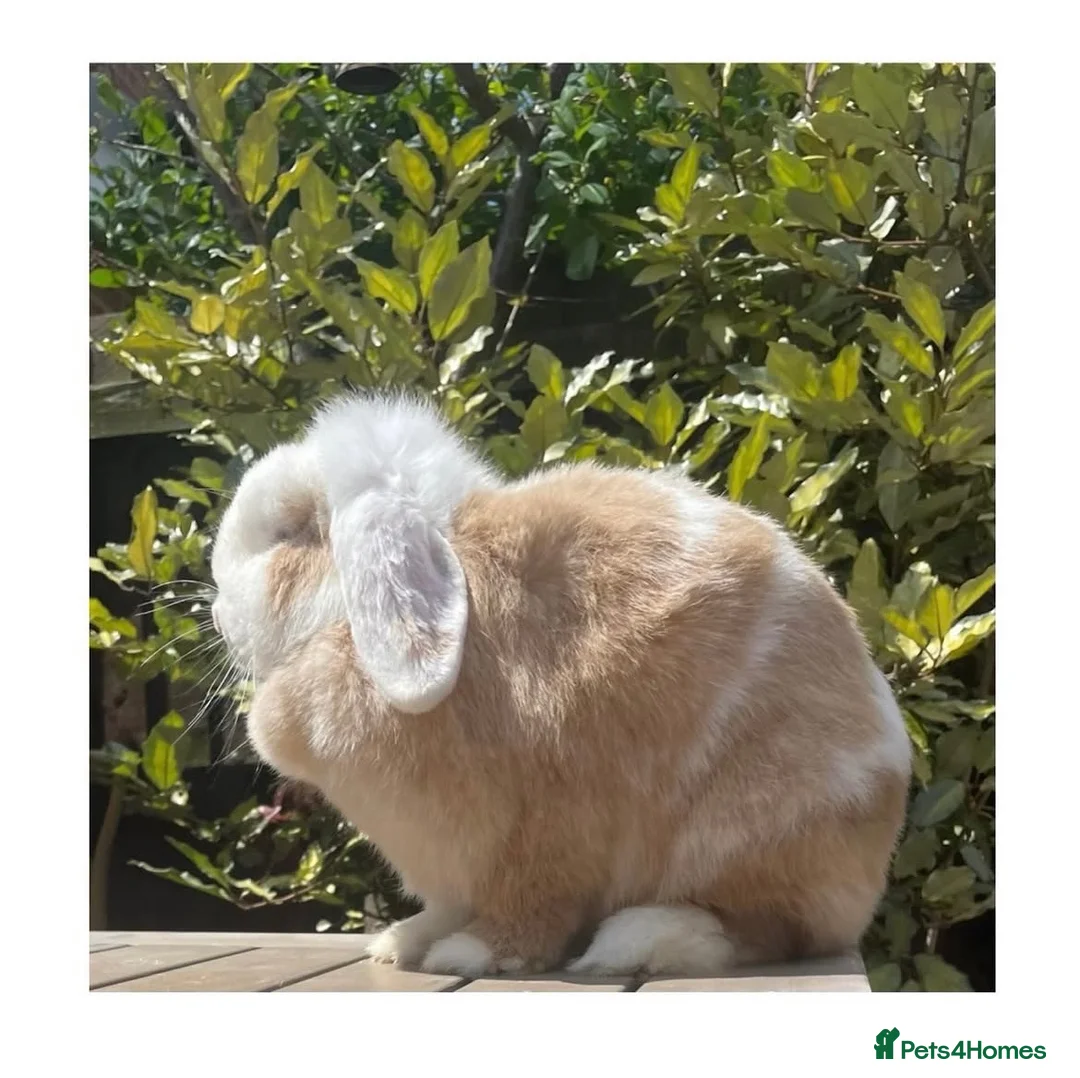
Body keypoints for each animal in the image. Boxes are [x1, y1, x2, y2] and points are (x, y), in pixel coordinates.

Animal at [208, 390, 912, 978]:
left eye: (291, 531)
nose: (215, 611)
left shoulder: (549, 822)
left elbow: (532, 903)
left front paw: (472, 954)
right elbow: (451, 905)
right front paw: (406, 941)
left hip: (757, 833)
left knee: (765, 930)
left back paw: (641, 939)